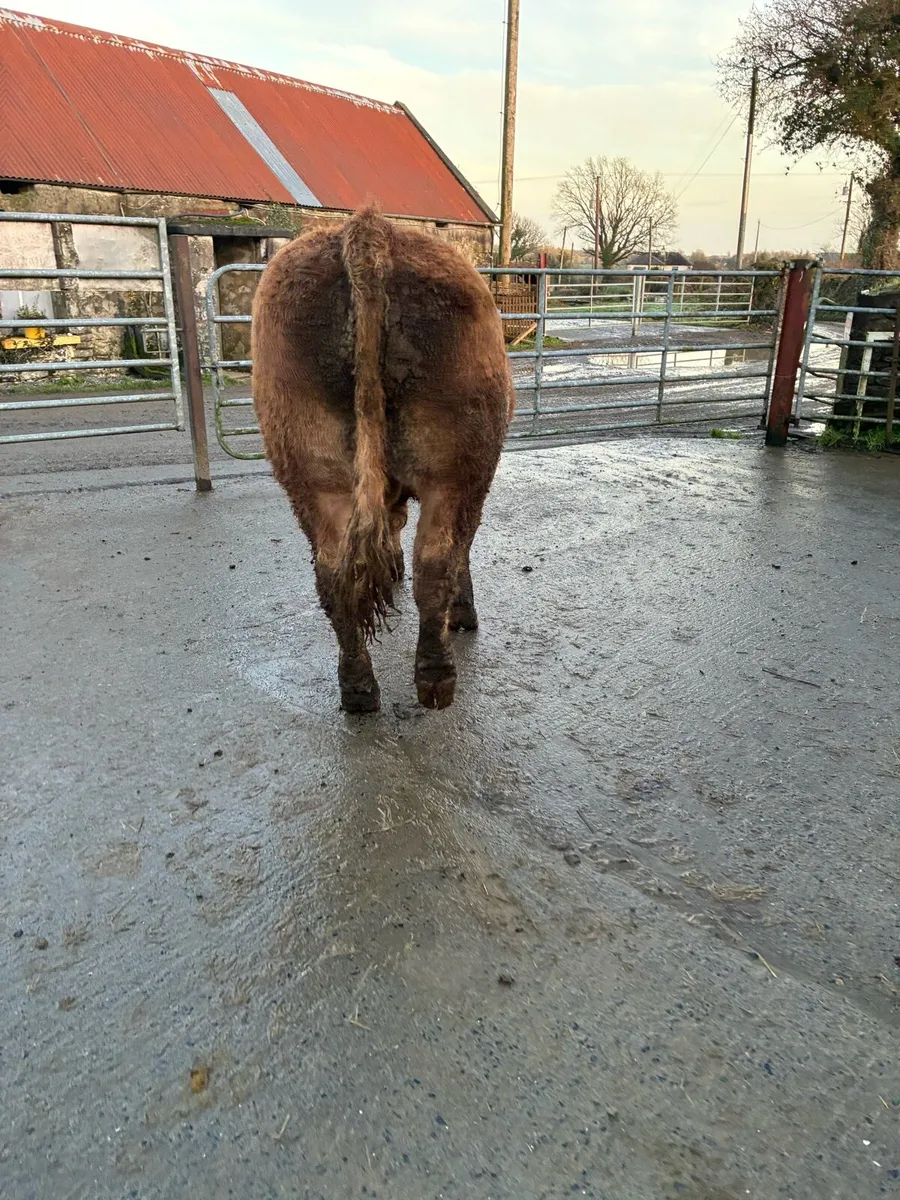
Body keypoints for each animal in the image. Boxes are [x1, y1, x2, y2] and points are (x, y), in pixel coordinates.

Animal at [252, 207, 514, 713]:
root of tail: (369, 229)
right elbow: (461, 552)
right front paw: (462, 611)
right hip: (456, 471)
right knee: (437, 561)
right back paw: (436, 677)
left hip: (314, 475)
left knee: (333, 574)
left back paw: (357, 689)